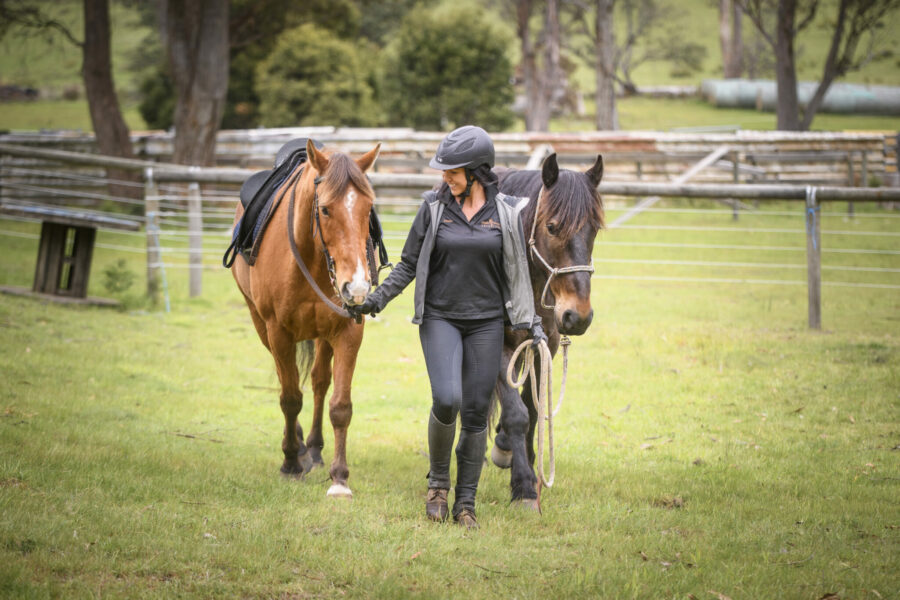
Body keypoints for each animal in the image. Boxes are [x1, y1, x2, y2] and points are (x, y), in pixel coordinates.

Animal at [231, 139, 381, 498]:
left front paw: (339, 478)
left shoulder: (348, 330)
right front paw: (290, 463)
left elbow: (340, 406)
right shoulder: (278, 332)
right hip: (261, 324)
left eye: (368, 208)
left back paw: (313, 447)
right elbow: (289, 398)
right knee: (288, 381)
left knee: (318, 382)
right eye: (324, 209)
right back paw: (298, 446)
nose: (356, 287)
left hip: (323, 335)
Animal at [492, 152, 605, 510]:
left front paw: (524, 460)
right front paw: (524, 486)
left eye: (595, 229)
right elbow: (516, 412)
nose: (578, 316)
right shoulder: (496, 346)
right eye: (552, 227)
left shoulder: (545, 346)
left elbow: (532, 406)